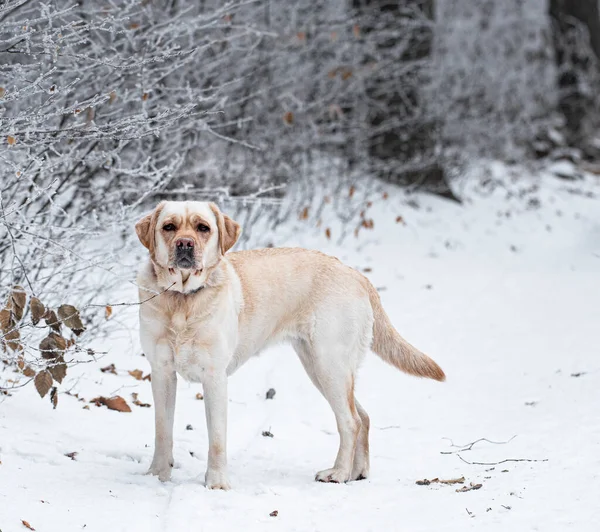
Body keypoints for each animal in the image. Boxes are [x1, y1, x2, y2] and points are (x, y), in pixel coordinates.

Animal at [137, 201, 446, 490]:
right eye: (169, 227)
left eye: (203, 228)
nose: (185, 244)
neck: (182, 300)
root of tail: (355, 273)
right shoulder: (162, 372)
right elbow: (162, 430)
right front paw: (157, 475)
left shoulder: (214, 377)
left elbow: (216, 439)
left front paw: (217, 482)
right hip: (321, 367)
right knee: (364, 416)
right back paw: (357, 472)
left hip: (329, 365)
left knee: (351, 421)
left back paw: (338, 473)